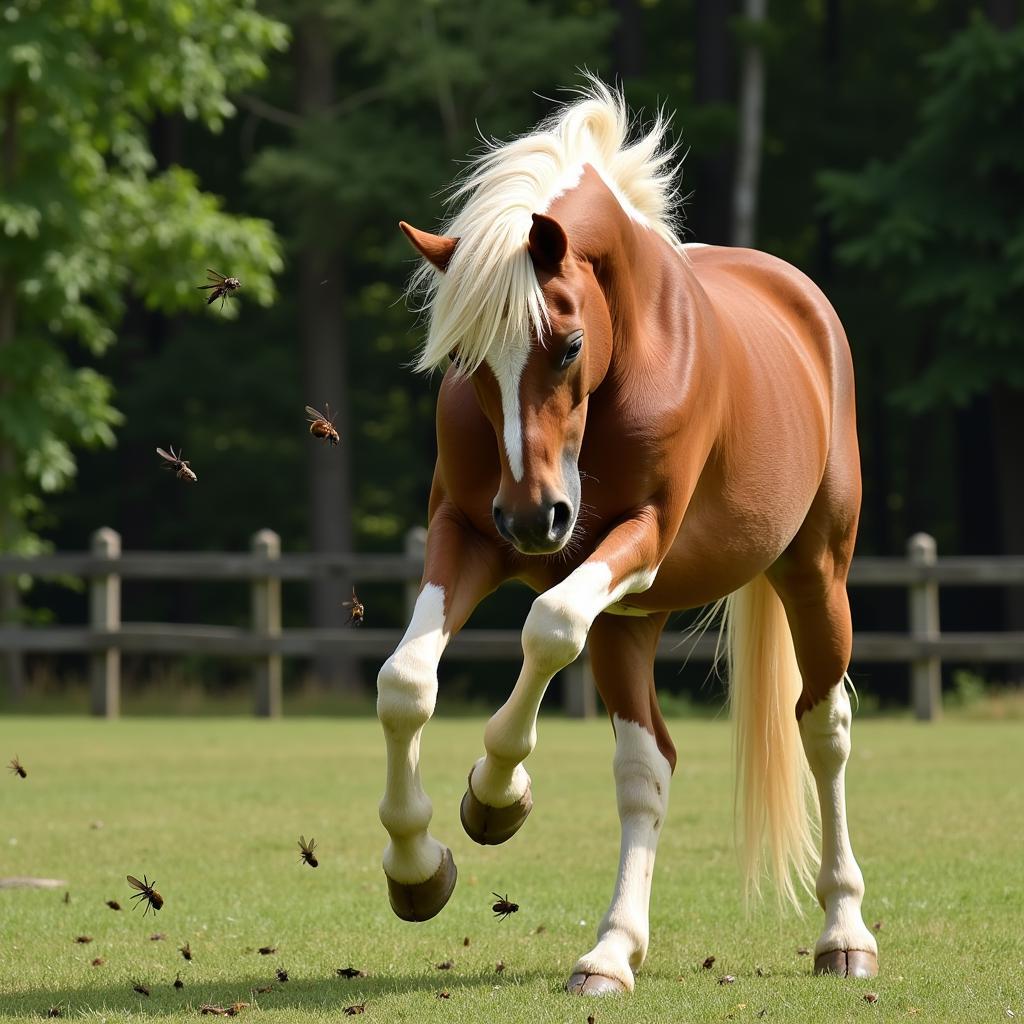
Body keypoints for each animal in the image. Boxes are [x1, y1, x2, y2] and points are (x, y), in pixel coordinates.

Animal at [376, 83, 880, 995]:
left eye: (569, 342)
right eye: (465, 357)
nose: (532, 517)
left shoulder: (637, 537)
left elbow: (546, 628)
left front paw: (496, 795)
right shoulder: (466, 534)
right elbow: (405, 683)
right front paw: (420, 865)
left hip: (814, 577)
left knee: (823, 729)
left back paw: (844, 934)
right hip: (629, 621)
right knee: (649, 769)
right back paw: (612, 951)